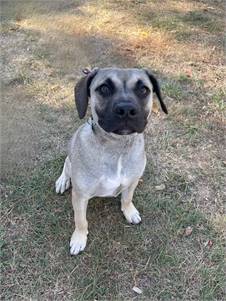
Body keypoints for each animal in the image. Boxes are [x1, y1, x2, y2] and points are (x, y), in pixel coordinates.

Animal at [55, 67, 167, 253]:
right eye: (104, 88)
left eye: (143, 89)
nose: (126, 109)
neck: (117, 147)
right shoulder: (80, 196)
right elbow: (81, 220)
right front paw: (79, 238)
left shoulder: (132, 181)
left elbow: (127, 199)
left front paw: (129, 211)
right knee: (66, 163)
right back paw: (62, 180)